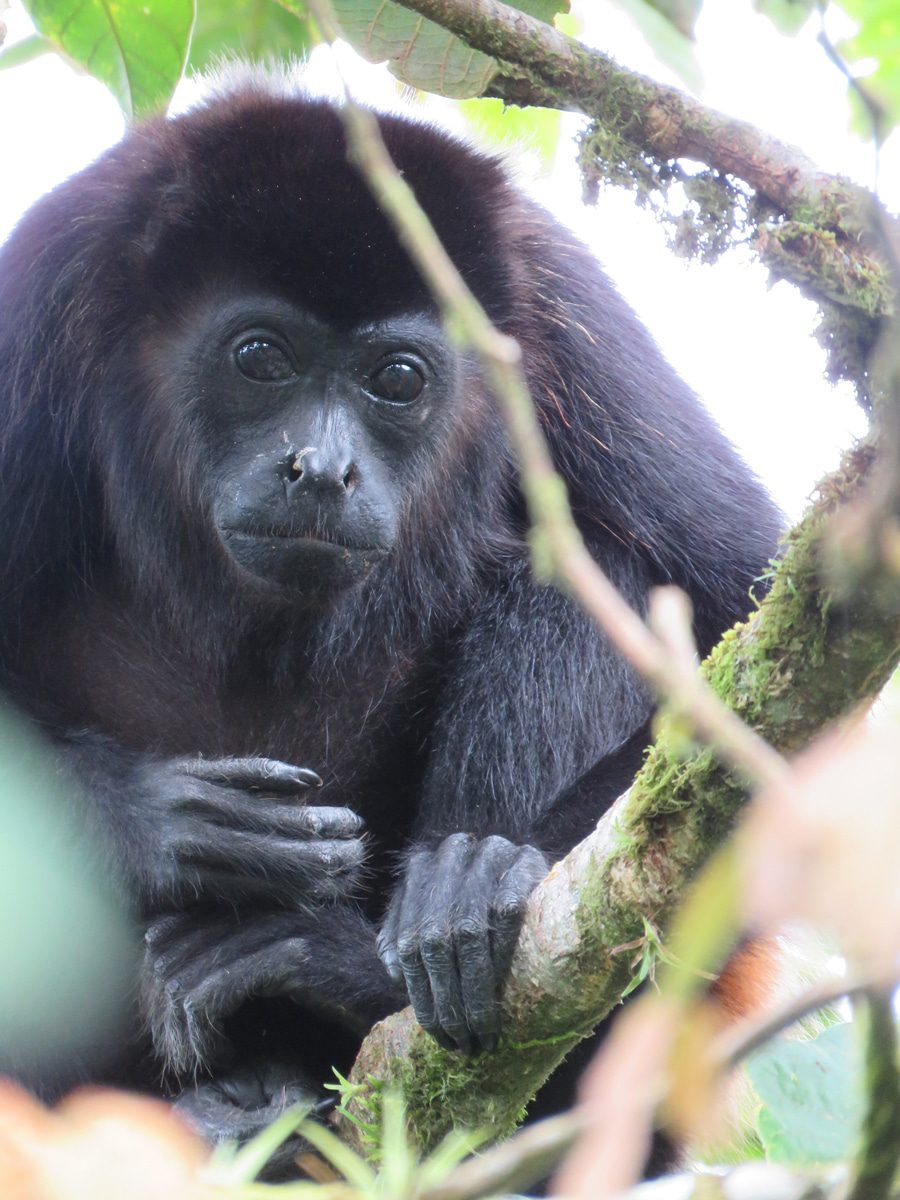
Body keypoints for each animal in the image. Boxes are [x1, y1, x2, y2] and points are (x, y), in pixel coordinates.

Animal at [0, 87, 782, 1152]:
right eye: (259, 358)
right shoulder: (45, 290)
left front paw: (463, 894)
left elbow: (743, 604)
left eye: (399, 378)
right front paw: (164, 819)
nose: (323, 470)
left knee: (595, 577)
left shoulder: (559, 312)